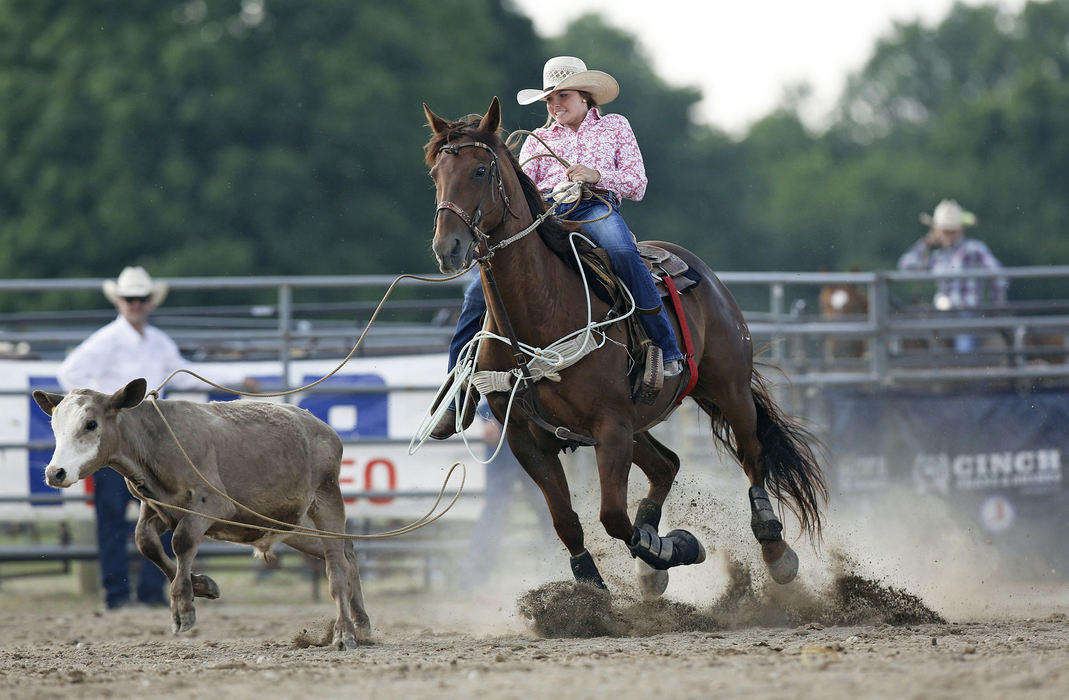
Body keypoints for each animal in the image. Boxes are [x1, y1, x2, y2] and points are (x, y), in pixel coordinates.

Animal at [33, 380, 369, 649]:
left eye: (90, 424)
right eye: (54, 427)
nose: (55, 472)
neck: (156, 440)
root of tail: (326, 430)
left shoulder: (213, 506)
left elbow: (182, 541)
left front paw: (183, 608)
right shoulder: (158, 507)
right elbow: (145, 542)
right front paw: (203, 585)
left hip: (326, 501)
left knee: (336, 565)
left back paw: (344, 633)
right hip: (294, 526)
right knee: (348, 554)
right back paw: (362, 625)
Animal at [423, 95, 825, 594]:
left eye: (480, 170)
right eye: (435, 174)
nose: (448, 248)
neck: (538, 319)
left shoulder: (610, 427)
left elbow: (612, 516)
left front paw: (677, 547)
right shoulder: (525, 438)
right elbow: (567, 522)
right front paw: (595, 587)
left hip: (727, 388)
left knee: (752, 456)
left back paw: (773, 549)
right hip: (642, 421)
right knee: (667, 464)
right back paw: (652, 562)